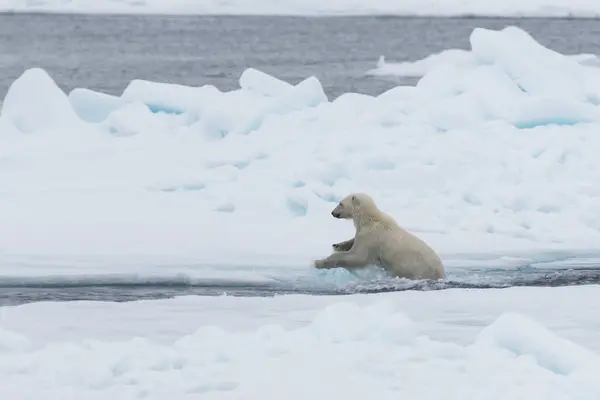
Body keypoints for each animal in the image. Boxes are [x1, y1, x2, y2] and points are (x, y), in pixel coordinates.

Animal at [314, 192, 446, 280]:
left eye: (340, 203)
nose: (332, 212)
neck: (371, 219)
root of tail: (440, 273)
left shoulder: (371, 237)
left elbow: (358, 257)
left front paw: (319, 262)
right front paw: (337, 245)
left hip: (412, 267)